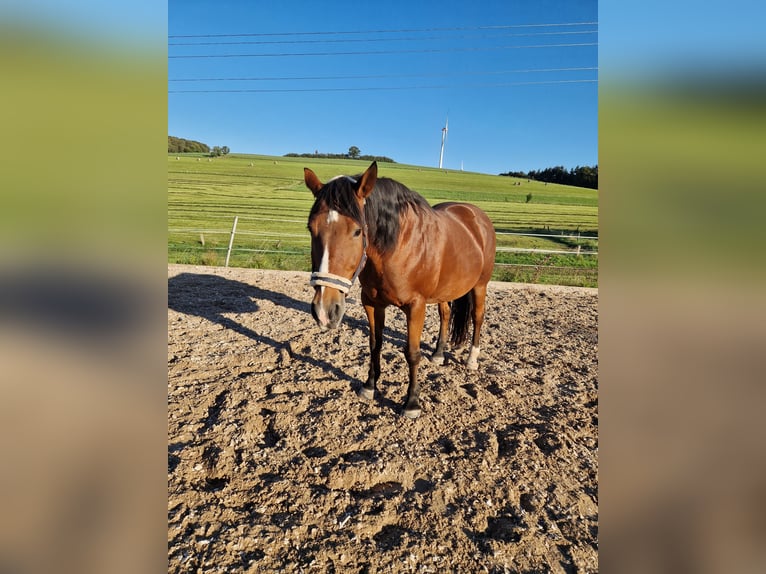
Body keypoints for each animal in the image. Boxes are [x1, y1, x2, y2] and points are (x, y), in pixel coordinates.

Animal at [306, 161, 498, 418]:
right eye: (311, 228)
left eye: (357, 231)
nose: (325, 311)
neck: (396, 247)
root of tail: (476, 215)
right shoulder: (371, 302)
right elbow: (375, 344)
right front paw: (369, 386)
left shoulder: (415, 306)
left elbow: (412, 353)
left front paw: (412, 403)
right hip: (445, 291)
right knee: (445, 314)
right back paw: (439, 354)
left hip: (480, 285)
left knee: (477, 317)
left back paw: (472, 359)